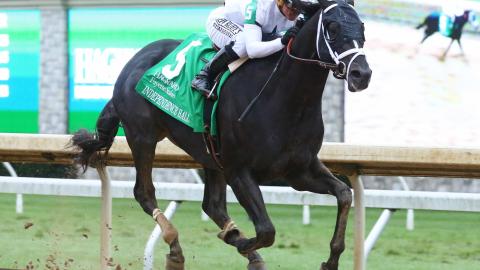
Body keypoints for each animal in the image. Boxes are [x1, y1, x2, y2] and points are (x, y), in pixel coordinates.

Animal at [70, 1, 372, 268]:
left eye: (362, 26)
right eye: (332, 27)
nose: (362, 73)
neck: (287, 99)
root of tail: (135, 59)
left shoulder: (298, 170)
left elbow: (344, 194)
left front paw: (331, 260)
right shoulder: (239, 170)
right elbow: (266, 230)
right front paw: (239, 241)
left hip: (209, 154)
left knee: (212, 205)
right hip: (142, 136)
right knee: (144, 192)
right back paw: (177, 248)